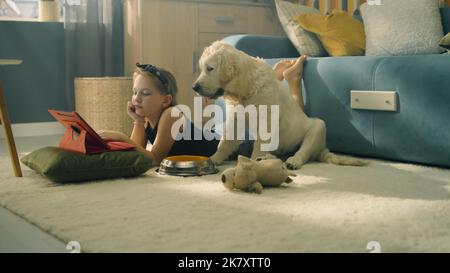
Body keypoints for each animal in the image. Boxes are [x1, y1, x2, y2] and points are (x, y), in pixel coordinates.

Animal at [192, 41, 366, 168]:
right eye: (202, 68)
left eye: (210, 68)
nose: (194, 87)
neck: (245, 90)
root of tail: (322, 149)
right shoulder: (236, 119)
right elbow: (225, 143)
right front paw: (212, 159)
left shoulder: (265, 121)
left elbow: (258, 146)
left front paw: (252, 164)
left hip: (318, 127)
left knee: (304, 152)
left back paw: (293, 161)